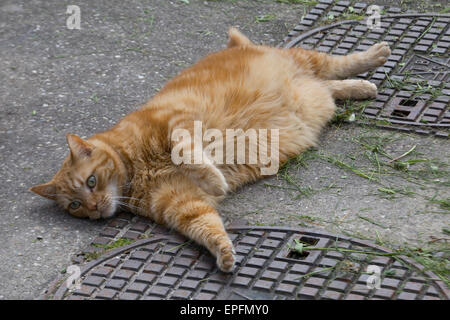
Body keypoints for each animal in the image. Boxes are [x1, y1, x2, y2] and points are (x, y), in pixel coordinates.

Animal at [30, 28, 390, 272]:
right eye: (75, 205)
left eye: (91, 182)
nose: (93, 209)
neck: (135, 169)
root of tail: (237, 46)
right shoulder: (181, 205)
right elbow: (206, 227)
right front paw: (223, 252)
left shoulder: (178, 123)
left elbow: (189, 155)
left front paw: (216, 179)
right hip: (312, 92)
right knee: (328, 87)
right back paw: (360, 88)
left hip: (305, 60)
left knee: (336, 64)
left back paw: (374, 57)